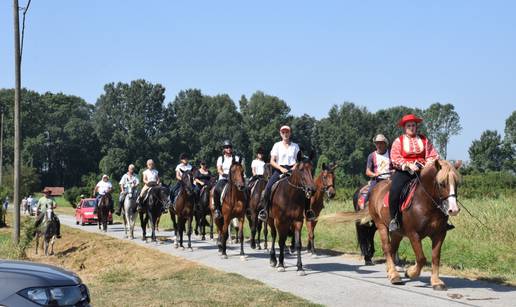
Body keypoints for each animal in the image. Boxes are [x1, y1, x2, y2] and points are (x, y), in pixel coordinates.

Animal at [368, 161, 462, 292]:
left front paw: (436, 282)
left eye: (457, 183)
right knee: (386, 248)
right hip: (381, 225)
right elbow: (421, 258)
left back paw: (391, 272)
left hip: (396, 233)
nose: (454, 210)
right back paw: (394, 275)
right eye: (441, 183)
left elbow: (435, 257)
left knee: (392, 249)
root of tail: (376, 187)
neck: (425, 203)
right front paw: (410, 272)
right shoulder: (413, 234)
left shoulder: (439, 234)